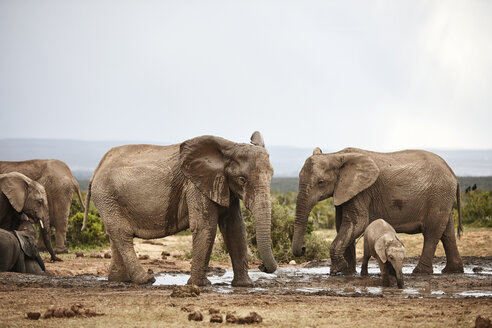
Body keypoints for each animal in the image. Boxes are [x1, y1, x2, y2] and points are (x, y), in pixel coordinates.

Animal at [84, 132, 276, 286]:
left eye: (272, 175)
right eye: (242, 179)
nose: (262, 266)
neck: (228, 148)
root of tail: (95, 171)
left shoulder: (223, 185)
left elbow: (235, 228)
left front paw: (244, 285)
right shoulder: (195, 185)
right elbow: (206, 226)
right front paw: (200, 285)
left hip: (108, 198)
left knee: (115, 235)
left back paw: (119, 280)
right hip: (106, 194)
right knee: (122, 234)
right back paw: (146, 280)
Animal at [292, 147, 466, 276]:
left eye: (321, 182)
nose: (303, 248)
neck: (337, 155)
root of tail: (453, 174)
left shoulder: (361, 191)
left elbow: (356, 223)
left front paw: (337, 270)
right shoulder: (345, 191)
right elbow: (342, 224)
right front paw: (348, 272)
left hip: (438, 196)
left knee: (432, 232)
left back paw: (420, 272)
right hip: (442, 198)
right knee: (447, 232)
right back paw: (452, 271)